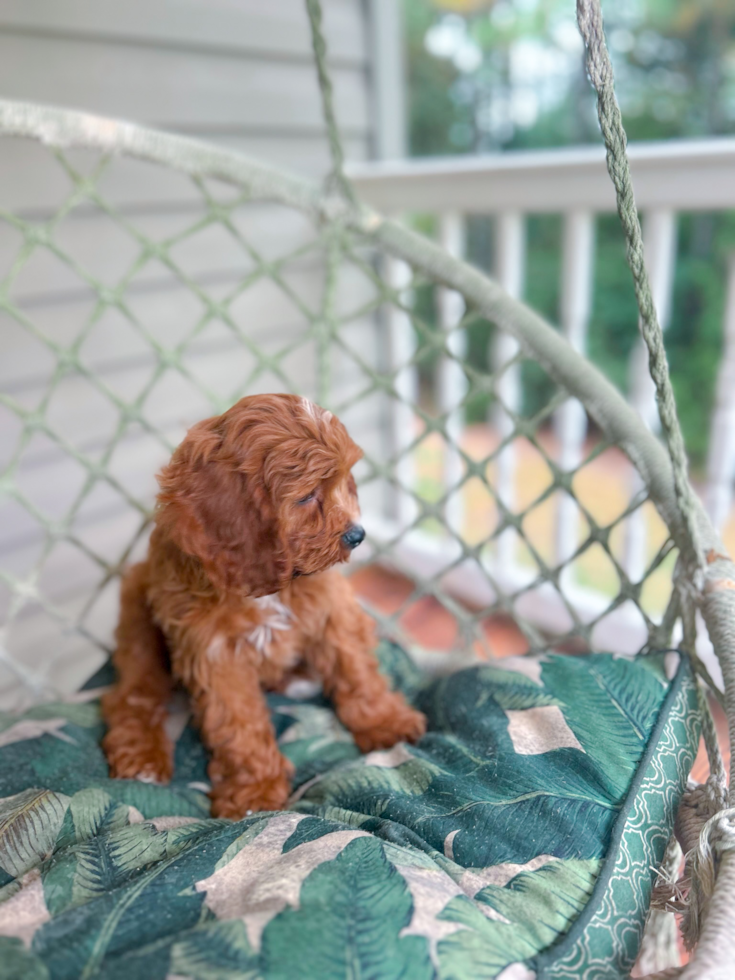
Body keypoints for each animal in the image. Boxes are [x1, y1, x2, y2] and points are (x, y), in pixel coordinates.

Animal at [100, 392, 428, 820]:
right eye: (306, 495)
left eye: (344, 481)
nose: (357, 535)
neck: (270, 588)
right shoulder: (215, 654)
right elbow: (238, 723)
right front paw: (254, 791)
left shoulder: (333, 611)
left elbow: (355, 668)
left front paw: (384, 721)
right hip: (138, 618)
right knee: (132, 696)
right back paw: (142, 757)